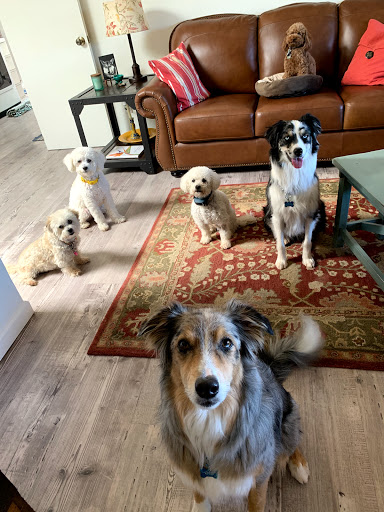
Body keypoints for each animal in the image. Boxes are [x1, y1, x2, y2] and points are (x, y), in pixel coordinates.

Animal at [139, 300, 324, 512]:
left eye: (226, 343)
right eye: (183, 344)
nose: (207, 388)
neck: (209, 419)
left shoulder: (258, 480)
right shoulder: (194, 476)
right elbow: (200, 497)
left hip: (288, 419)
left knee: (292, 442)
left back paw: (299, 466)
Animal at [266, 113, 326, 270]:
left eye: (305, 136)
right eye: (287, 138)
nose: (298, 150)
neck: (294, 173)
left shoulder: (311, 213)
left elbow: (307, 241)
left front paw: (307, 259)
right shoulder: (277, 214)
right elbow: (279, 243)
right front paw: (281, 261)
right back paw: (287, 238)